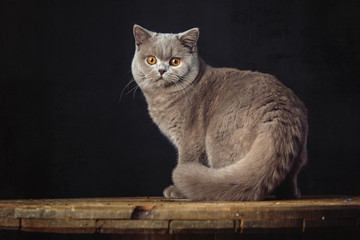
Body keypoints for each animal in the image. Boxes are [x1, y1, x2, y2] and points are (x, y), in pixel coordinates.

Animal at [131, 24, 308, 201]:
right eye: (151, 60)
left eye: (175, 61)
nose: (161, 70)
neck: (162, 98)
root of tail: (279, 112)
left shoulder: (190, 140)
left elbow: (187, 159)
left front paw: (177, 191)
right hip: (299, 153)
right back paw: (292, 193)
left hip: (220, 139)